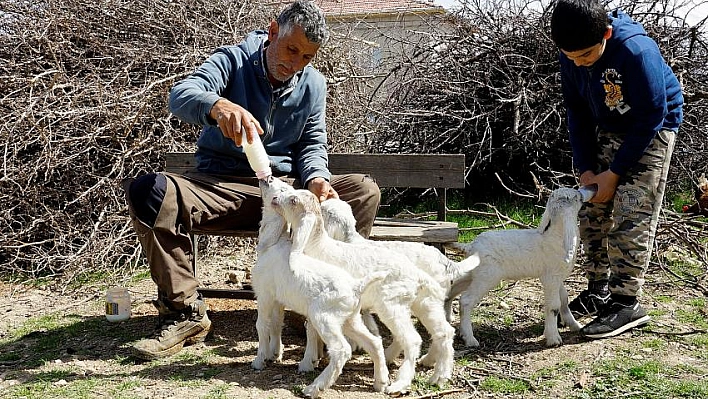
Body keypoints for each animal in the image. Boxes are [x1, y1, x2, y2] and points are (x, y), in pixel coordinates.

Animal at [252, 178, 390, 399]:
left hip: (324, 318)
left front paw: (259, 361)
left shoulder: (264, 295)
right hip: (350, 319)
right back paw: (380, 382)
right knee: (374, 342)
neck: (273, 245)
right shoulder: (278, 299)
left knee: (342, 350)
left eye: (285, 191)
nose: (268, 178)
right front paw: (275, 354)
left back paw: (314, 387)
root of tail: (356, 287)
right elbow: (276, 323)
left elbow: (261, 325)